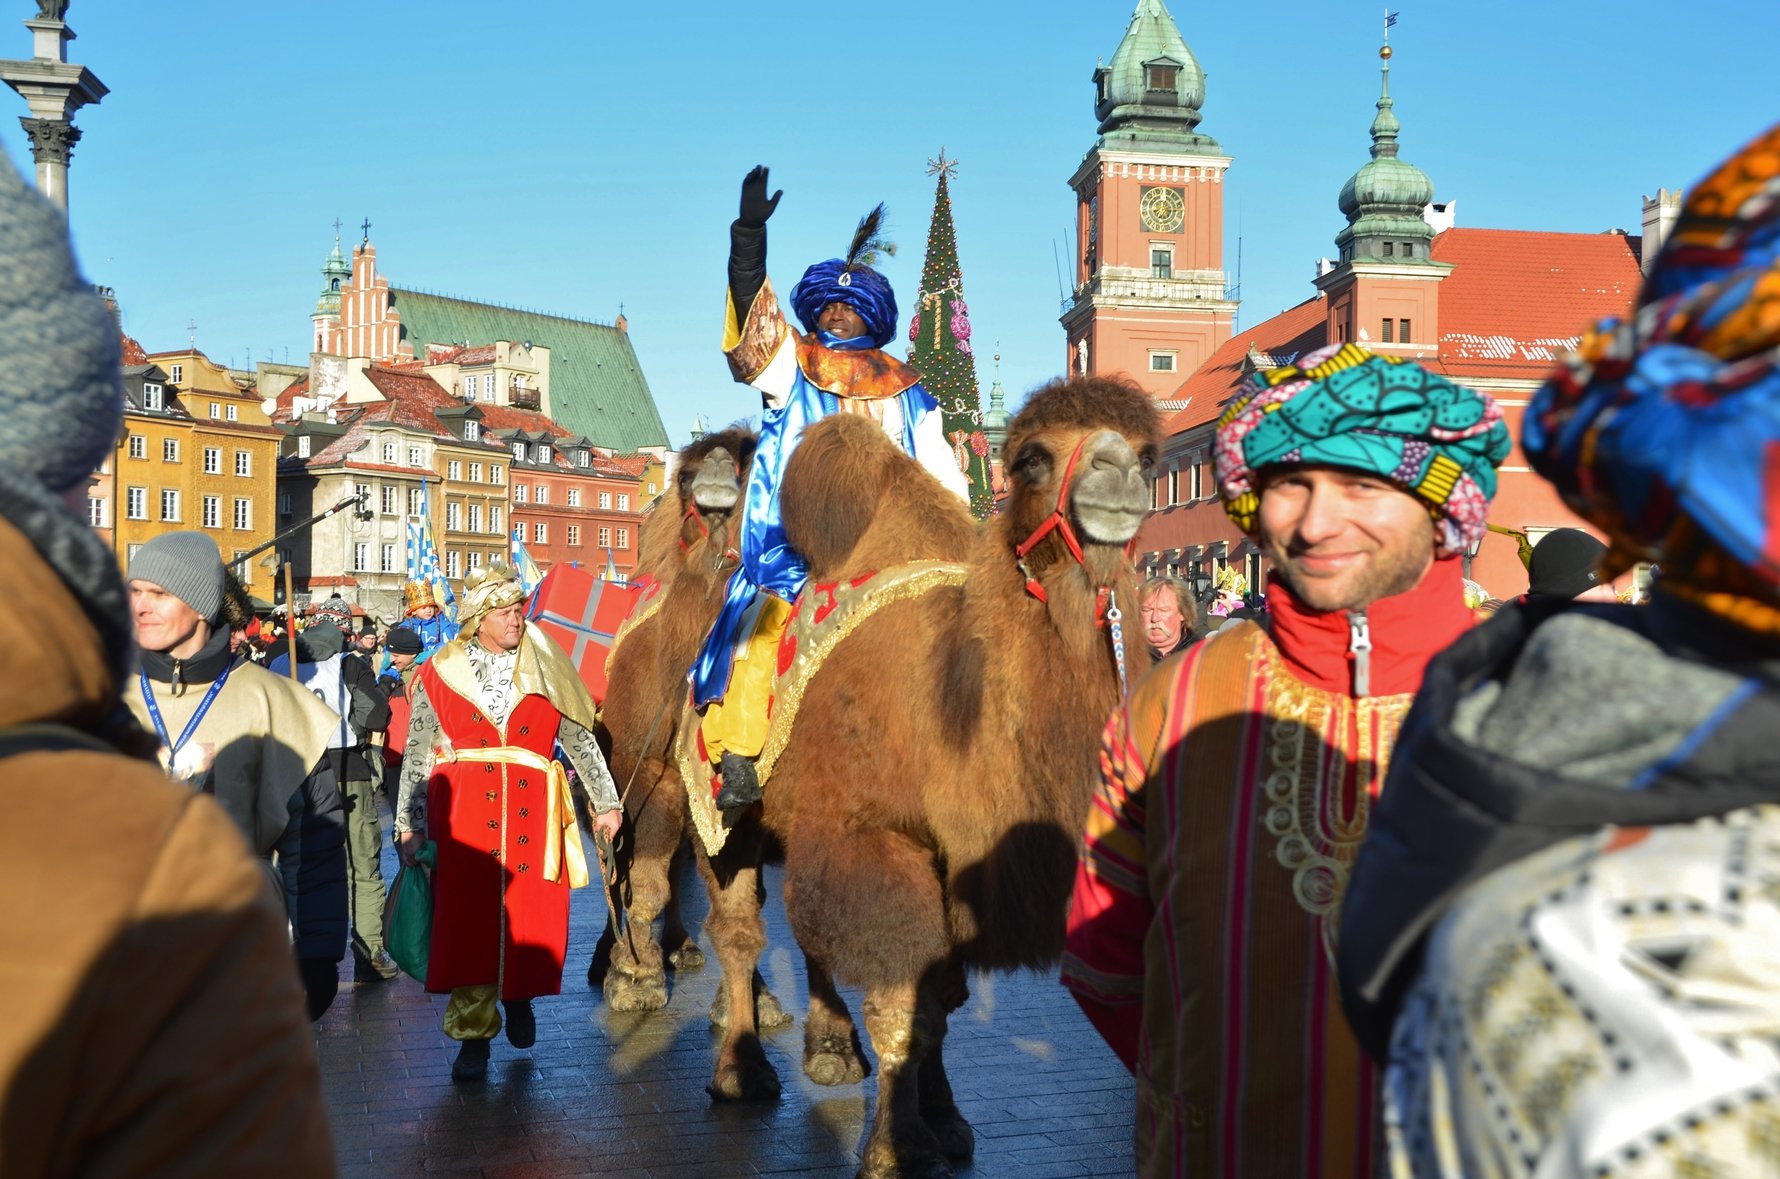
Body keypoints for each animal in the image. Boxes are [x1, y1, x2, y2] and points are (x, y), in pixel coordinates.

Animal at [687, 379, 1160, 1179]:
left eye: (1148, 454)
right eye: (1031, 458)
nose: (1119, 472)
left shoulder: (956, 861)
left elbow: (940, 1002)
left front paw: (945, 1122)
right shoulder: (875, 836)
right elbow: (899, 1005)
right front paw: (895, 1147)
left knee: (809, 938)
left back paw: (830, 1052)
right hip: (720, 816)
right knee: (741, 932)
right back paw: (739, 1073)